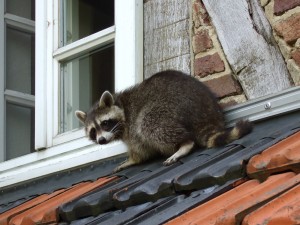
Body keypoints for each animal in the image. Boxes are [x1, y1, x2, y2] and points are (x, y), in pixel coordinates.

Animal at [75, 70, 251, 172]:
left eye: (105, 123)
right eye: (93, 131)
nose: (101, 140)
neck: (121, 105)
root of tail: (205, 114)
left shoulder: (131, 128)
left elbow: (140, 150)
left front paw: (132, 160)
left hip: (166, 109)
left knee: (148, 125)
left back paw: (184, 144)